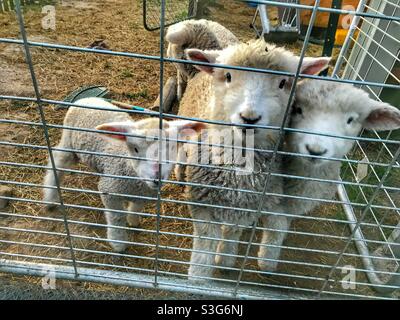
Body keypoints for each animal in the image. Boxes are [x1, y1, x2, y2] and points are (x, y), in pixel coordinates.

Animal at [43, 97, 205, 252]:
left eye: (171, 148)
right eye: (136, 149)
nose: (156, 178)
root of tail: (87, 98)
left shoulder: (143, 195)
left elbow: (136, 209)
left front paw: (133, 221)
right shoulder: (110, 191)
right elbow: (117, 218)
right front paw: (118, 242)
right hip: (68, 141)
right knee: (57, 163)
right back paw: (50, 197)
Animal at [177, 39, 330, 280]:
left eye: (283, 83)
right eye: (228, 76)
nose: (249, 118)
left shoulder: (246, 207)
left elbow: (232, 231)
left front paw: (225, 260)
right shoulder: (201, 205)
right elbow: (205, 244)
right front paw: (198, 276)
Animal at [256, 79, 400, 272]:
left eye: (350, 120)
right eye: (298, 110)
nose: (315, 150)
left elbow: (281, 225)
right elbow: (275, 226)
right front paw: (266, 260)